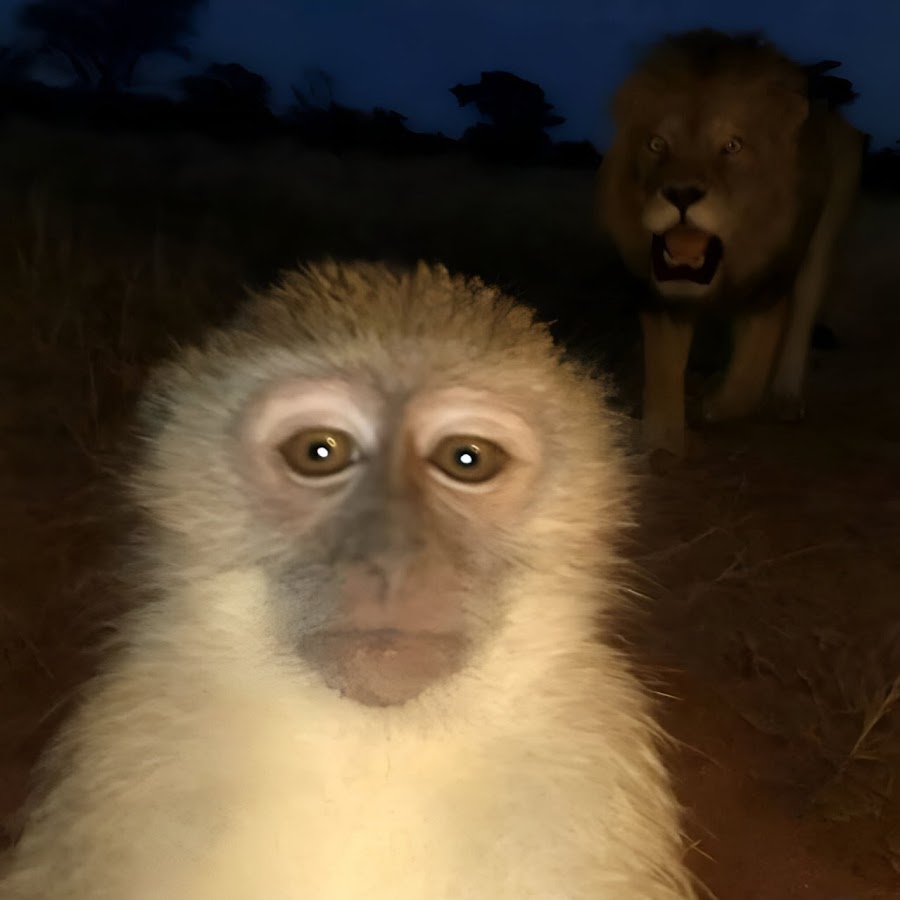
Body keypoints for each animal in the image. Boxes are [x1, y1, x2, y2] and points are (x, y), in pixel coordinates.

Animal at [596, 29, 863, 458]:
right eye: (656, 144)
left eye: (732, 146)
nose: (682, 194)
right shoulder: (660, 294)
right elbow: (664, 372)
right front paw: (663, 443)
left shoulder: (771, 285)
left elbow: (748, 381)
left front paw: (714, 407)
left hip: (823, 238)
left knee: (803, 315)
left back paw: (785, 397)